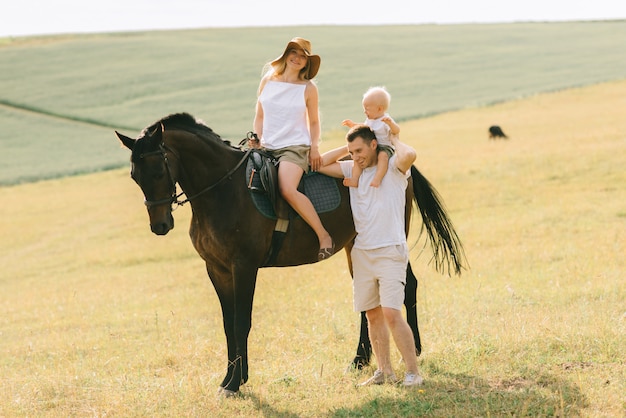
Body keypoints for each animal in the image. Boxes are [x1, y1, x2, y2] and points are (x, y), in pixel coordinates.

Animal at [114, 112, 464, 396]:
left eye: (158, 171)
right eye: (134, 176)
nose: (160, 225)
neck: (222, 190)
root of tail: (394, 163)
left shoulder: (244, 267)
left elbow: (242, 322)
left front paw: (235, 383)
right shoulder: (217, 269)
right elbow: (228, 324)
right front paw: (231, 378)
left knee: (408, 286)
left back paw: (414, 348)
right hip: (355, 248)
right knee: (371, 302)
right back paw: (359, 359)